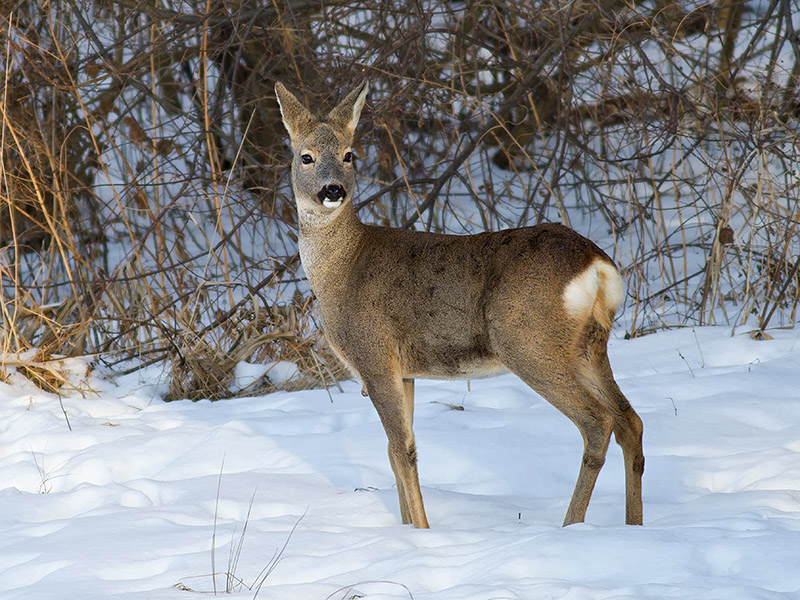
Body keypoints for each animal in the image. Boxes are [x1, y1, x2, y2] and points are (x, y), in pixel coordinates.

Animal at [276, 81, 644, 528]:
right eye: (306, 156)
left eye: (349, 154)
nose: (333, 190)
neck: (341, 270)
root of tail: (597, 265)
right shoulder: (405, 371)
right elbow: (395, 453)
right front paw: (407, 530)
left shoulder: (375, 355)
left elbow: (402, 450)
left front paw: (422, 531)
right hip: (589, 345)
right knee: (629, 419)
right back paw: (635, 524)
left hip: (527, 341)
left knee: (597, 421)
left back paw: (571, 525)